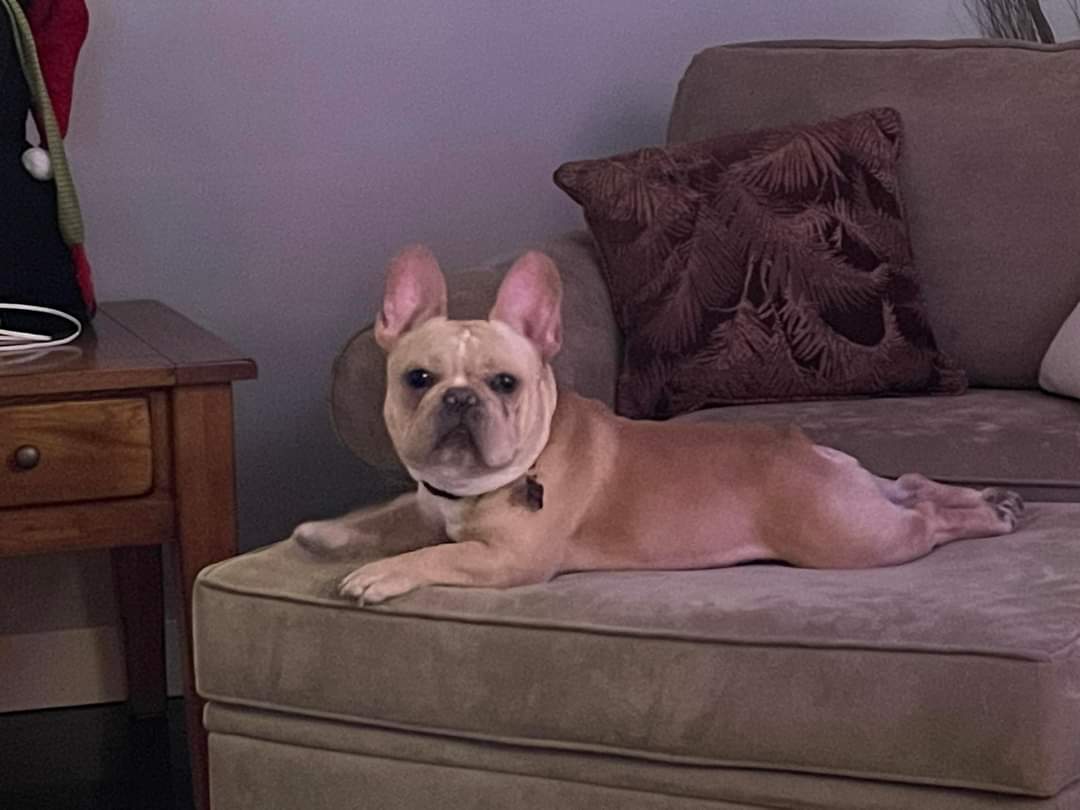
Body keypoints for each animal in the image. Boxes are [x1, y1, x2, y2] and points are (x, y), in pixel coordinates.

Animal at [292, 247, 1024, 604]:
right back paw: (990, 497)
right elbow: (387, 514)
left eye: (504, 383)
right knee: (916, 482)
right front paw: (324, 533)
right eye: (418, 379)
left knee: (925, 520)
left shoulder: (510, 560)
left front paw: (380, 574)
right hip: (867, 505)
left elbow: (437, 553)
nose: (460, 399)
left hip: (851, 538)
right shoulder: (424, 501)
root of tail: (810, 452)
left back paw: (989, 517)